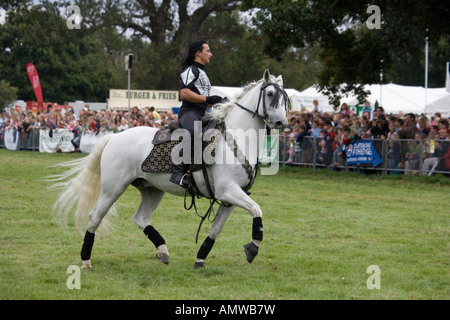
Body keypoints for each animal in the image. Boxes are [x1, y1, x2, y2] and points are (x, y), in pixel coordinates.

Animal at [50, 69, 288, 268]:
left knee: (141, 218)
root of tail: (115, 136)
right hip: (112, 189)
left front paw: (201, 258)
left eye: (285, 98)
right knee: (94, 217)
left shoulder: (231, 197)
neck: (238, 138)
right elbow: (257, 210)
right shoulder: (227, 190)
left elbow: (216, 229)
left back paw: (163, 251)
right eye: (269, 94)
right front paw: (253, 248)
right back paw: (86, 260)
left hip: (152, 189)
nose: (282, 123)